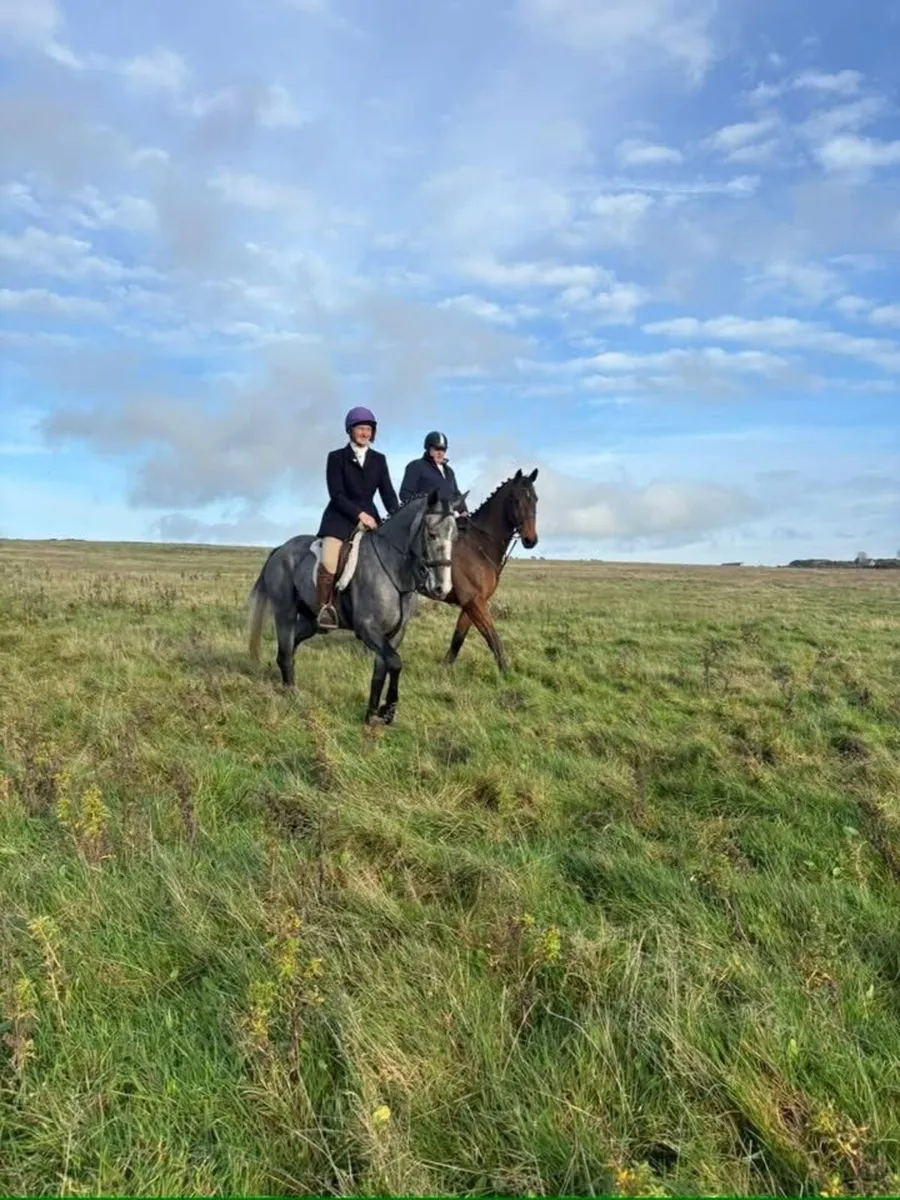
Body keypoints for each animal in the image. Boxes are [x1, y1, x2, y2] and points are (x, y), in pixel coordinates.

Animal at [246, 490, 458, 725]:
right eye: (431, 534)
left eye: (455, 536)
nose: (442, 587)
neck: (392, 569)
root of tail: (280, 549)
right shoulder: (367, 628)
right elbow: (395, 663)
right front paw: (387, 710)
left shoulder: (393, 633)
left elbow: (381, 671)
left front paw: (372, 715)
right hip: (286, 613)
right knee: (285, 650)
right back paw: (292, 694)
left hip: (310, 622)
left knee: (290, 646)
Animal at [436, 467, 539, 674]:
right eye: (516, 500)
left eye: (535, 499)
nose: (530, 540)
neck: (479, 544)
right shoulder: (474, 600)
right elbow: (493, 639)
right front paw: (507, 674)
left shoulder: (472, 601)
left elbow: (458, 638)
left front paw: (443, 670)